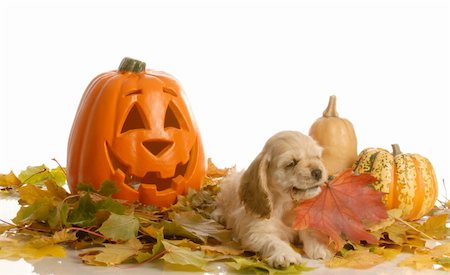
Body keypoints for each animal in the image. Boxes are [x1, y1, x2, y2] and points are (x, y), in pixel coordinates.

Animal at [212, 133, 334, 268]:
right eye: (291, 163)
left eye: (317, 157)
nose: (318, 172)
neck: (287, 204)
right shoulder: (257, 231)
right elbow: (274, 242)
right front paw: (286, 255)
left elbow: (312, 232)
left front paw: (321, 248)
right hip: (227, 187)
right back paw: (219, 215)